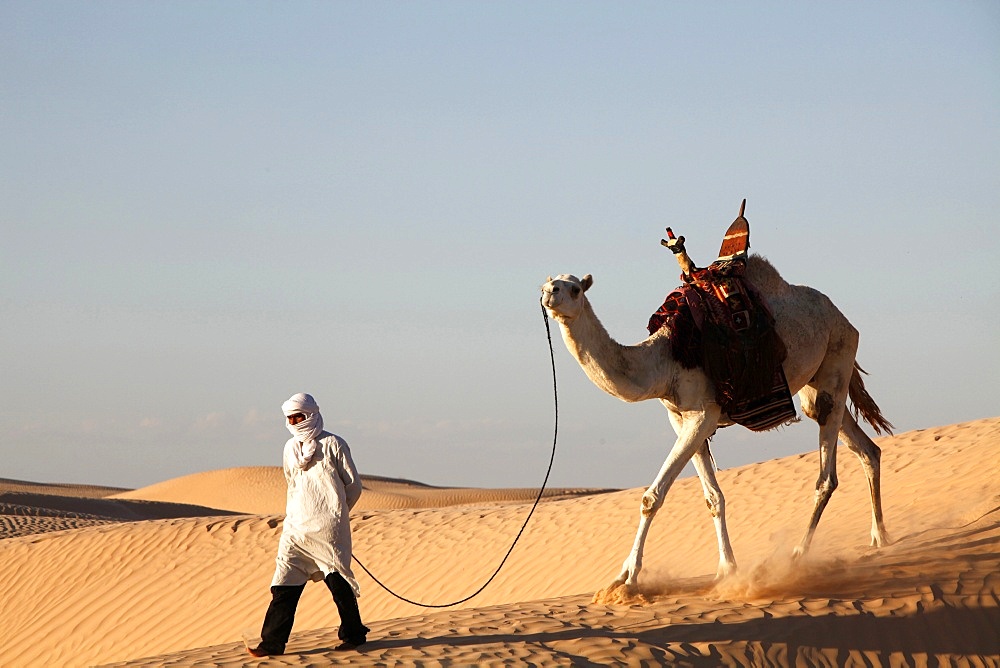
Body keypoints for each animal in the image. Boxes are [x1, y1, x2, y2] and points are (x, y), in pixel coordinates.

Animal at [544, 210, 896, 596]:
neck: (666, 357)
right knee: (863, 446)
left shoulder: (703, 414)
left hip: (838, 352)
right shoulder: (680, 418)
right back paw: (879, 537)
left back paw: (798, 555)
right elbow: (713, 498)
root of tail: (843, 317)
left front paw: (625, 579)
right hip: (816, 382)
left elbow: (651, 498)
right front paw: (726, 568)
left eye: (575, 288)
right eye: (550, 280)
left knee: (827, 477)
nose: (548, 293)